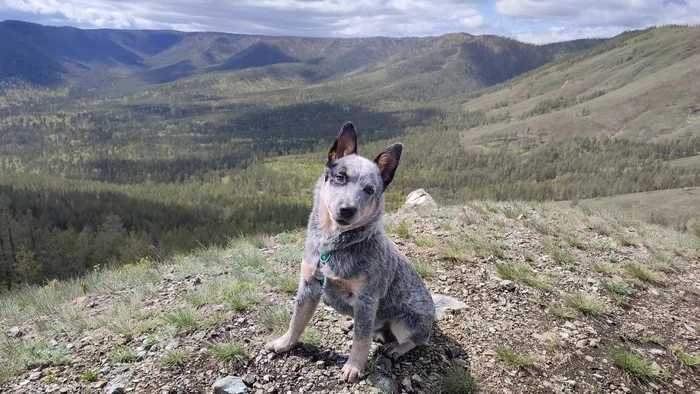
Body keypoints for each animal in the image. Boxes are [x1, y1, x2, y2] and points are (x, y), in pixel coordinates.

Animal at [266, 122, 468, 382]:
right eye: (340, 177)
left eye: (369, 189)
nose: (347, 209)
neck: (333, 246)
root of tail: (433, 310)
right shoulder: (309, 286)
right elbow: (296, 321)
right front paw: (284, 344)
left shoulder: (366, 298)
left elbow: (361, 340)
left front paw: (354, 367)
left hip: (407, 321)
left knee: (417, 339)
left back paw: (396, 347)